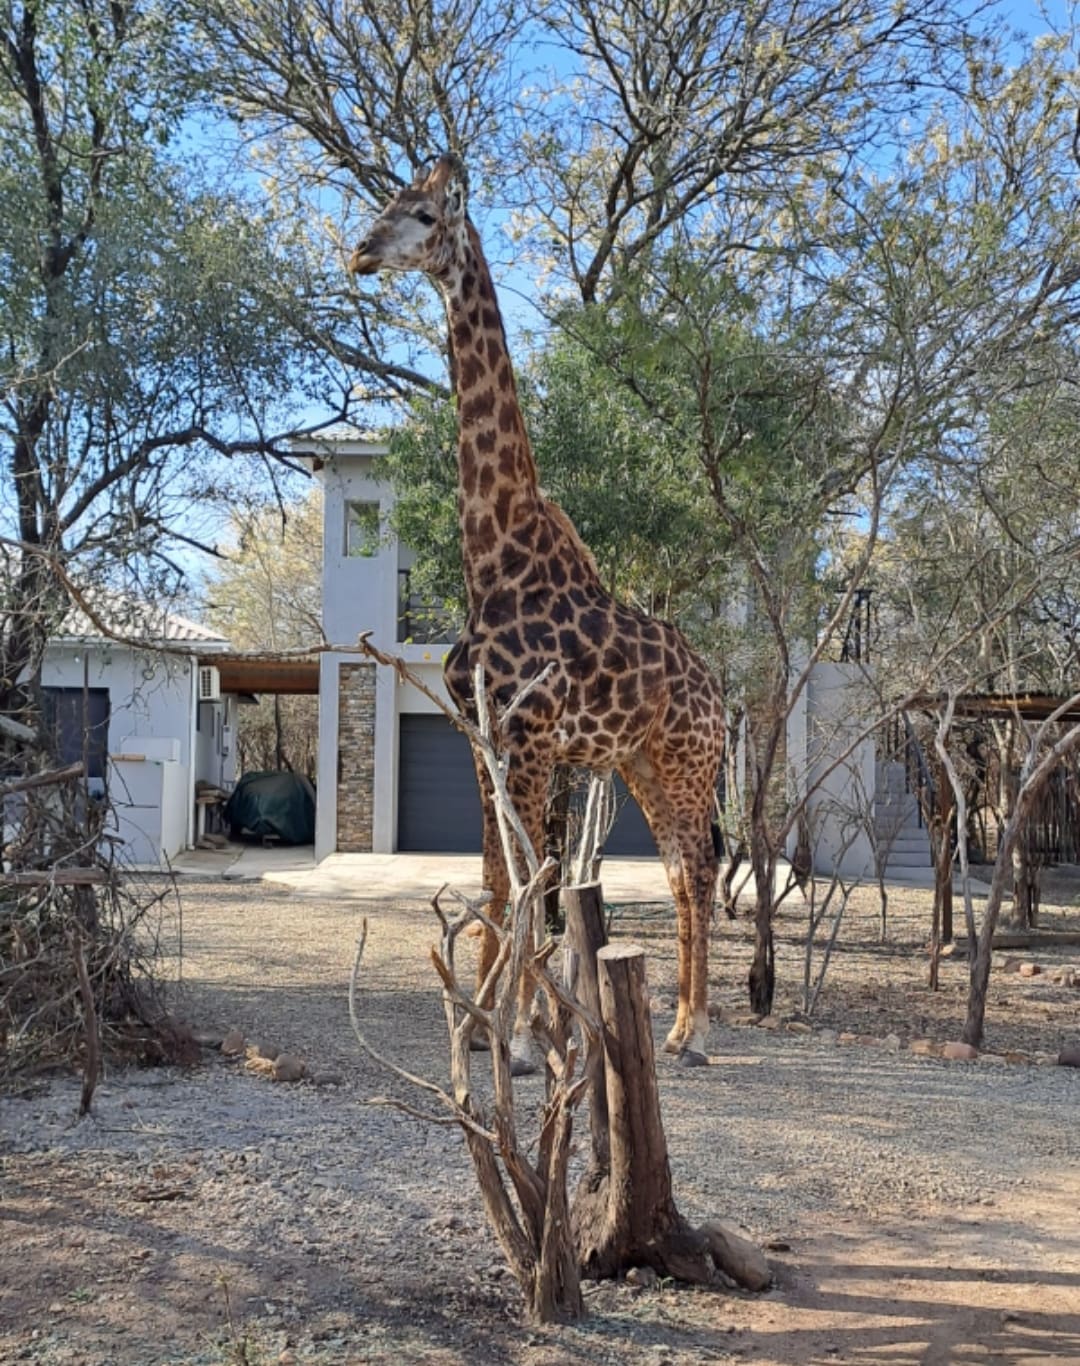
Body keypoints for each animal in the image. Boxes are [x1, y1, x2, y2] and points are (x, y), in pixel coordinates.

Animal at [349, 155, 726, 1060]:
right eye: (386, 204)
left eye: (422, 215)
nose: (359, 252)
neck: (493, 560)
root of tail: (721, 694)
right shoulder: (482, 735)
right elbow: (498, 879)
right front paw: (484, 1027)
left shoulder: (528, 739)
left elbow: (529, 882)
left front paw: (519, 1035)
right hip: (642, 764)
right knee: (676, 870)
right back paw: (675, 1026)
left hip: (689, 763)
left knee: (698, 868)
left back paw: (696, 1030)